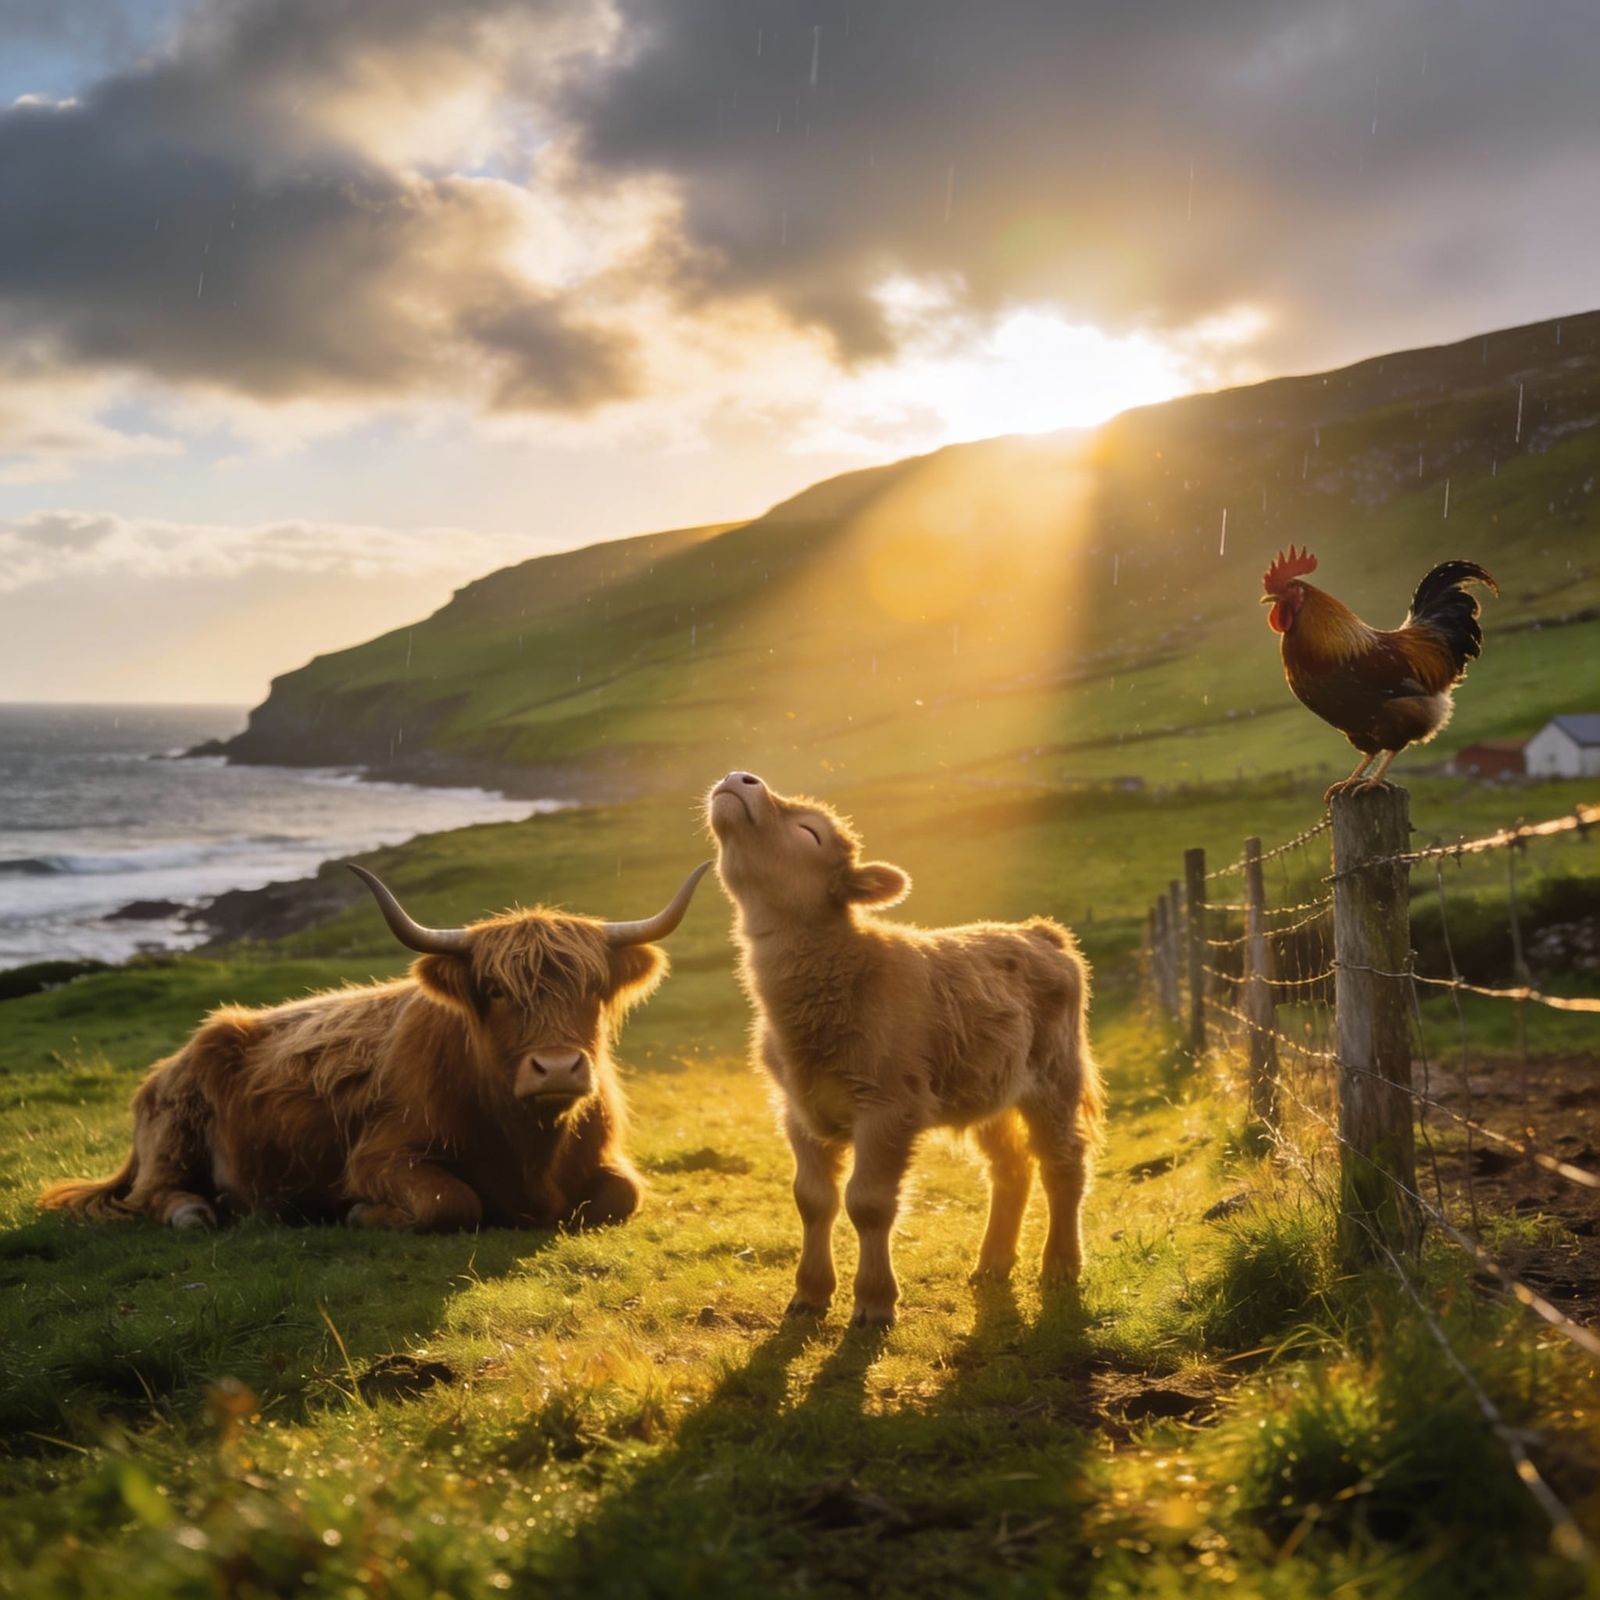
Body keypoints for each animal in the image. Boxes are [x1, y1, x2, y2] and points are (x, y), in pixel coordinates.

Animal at [38, 862, 710, 1233]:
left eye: (593, 988)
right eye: (495, 990)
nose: (559, 1068)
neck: (532, 1148)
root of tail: (167, 1065)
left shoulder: (608, 1160)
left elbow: (624, 1196)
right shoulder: (378, 1157)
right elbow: (450, 1201)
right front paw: (362, 1215)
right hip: (174, 1136)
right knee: (154, 1194)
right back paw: (204, 1211)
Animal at [708, 772, 1101, 1326]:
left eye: (810, 832)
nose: (740, 778)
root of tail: (1040, 930)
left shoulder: (890, 1105)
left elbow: (869, 1202)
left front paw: (875, 1302)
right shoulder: (797, 1109)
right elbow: (813, 1199)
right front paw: (809, 1294)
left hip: (1054, 1078)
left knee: (1063, 1162)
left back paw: (1061, 1265)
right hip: (990, 1089)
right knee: (1011, 1167)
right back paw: (992, 1264)